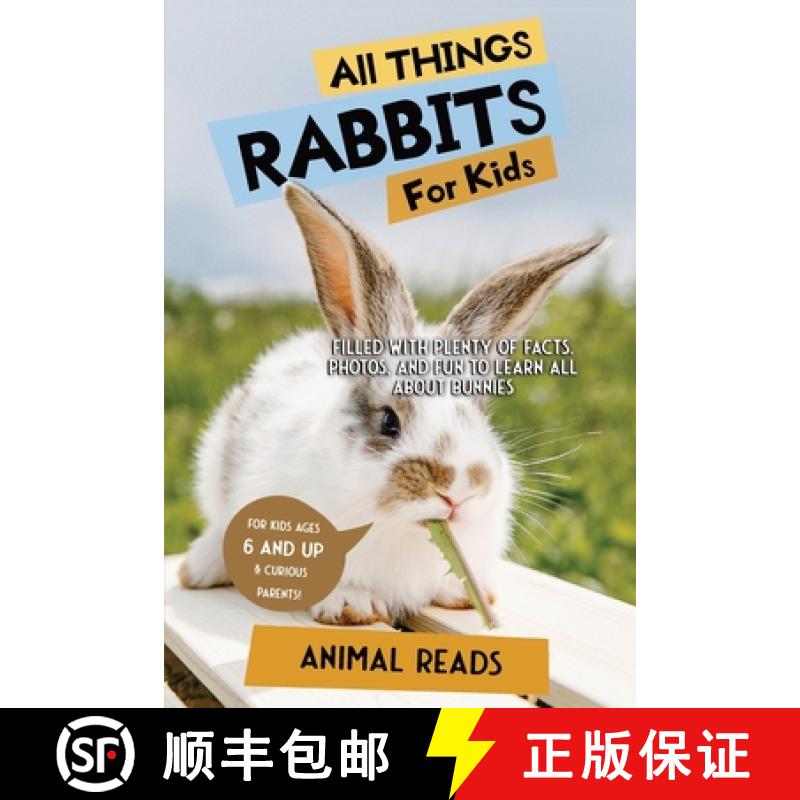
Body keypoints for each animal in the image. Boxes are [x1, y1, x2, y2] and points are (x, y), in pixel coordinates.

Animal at [179, 181, 606, 625]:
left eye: (480, 415)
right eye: (388, 421)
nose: (458, 492)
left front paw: (462, 593)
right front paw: (353, 605)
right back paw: (200, 567)